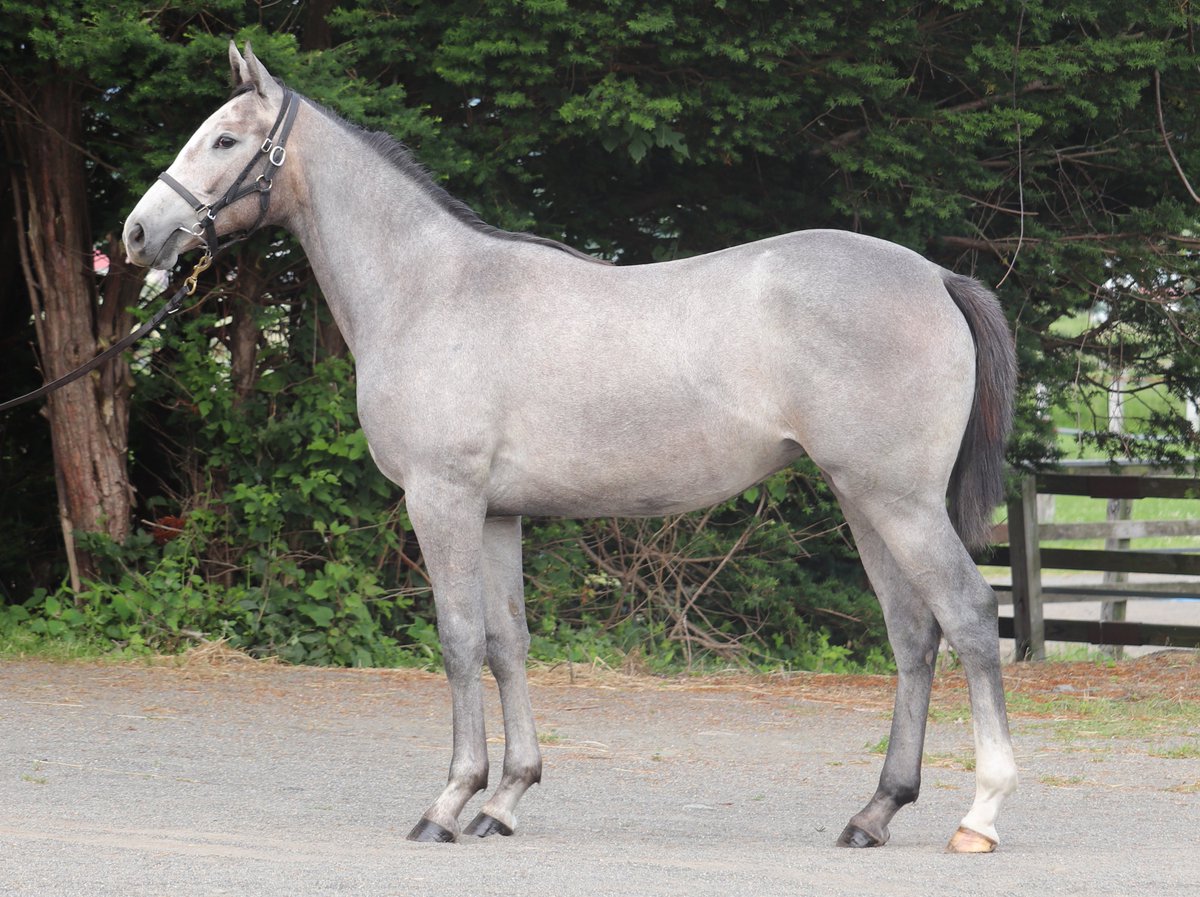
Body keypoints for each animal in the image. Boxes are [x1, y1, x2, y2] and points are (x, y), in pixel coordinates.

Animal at [124, 43, 1018, 853]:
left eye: (225, 141)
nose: (138, 234)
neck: (430, 287)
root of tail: (937, 276)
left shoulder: (441, 499)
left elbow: (457, 637)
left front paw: (449, 801)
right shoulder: (496, 513)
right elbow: (506, 642)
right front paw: (505, 799)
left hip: (898, 501)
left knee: (970, 616)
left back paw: (980, 814)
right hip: (864, 500)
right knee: (914, 634)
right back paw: (875, 811)